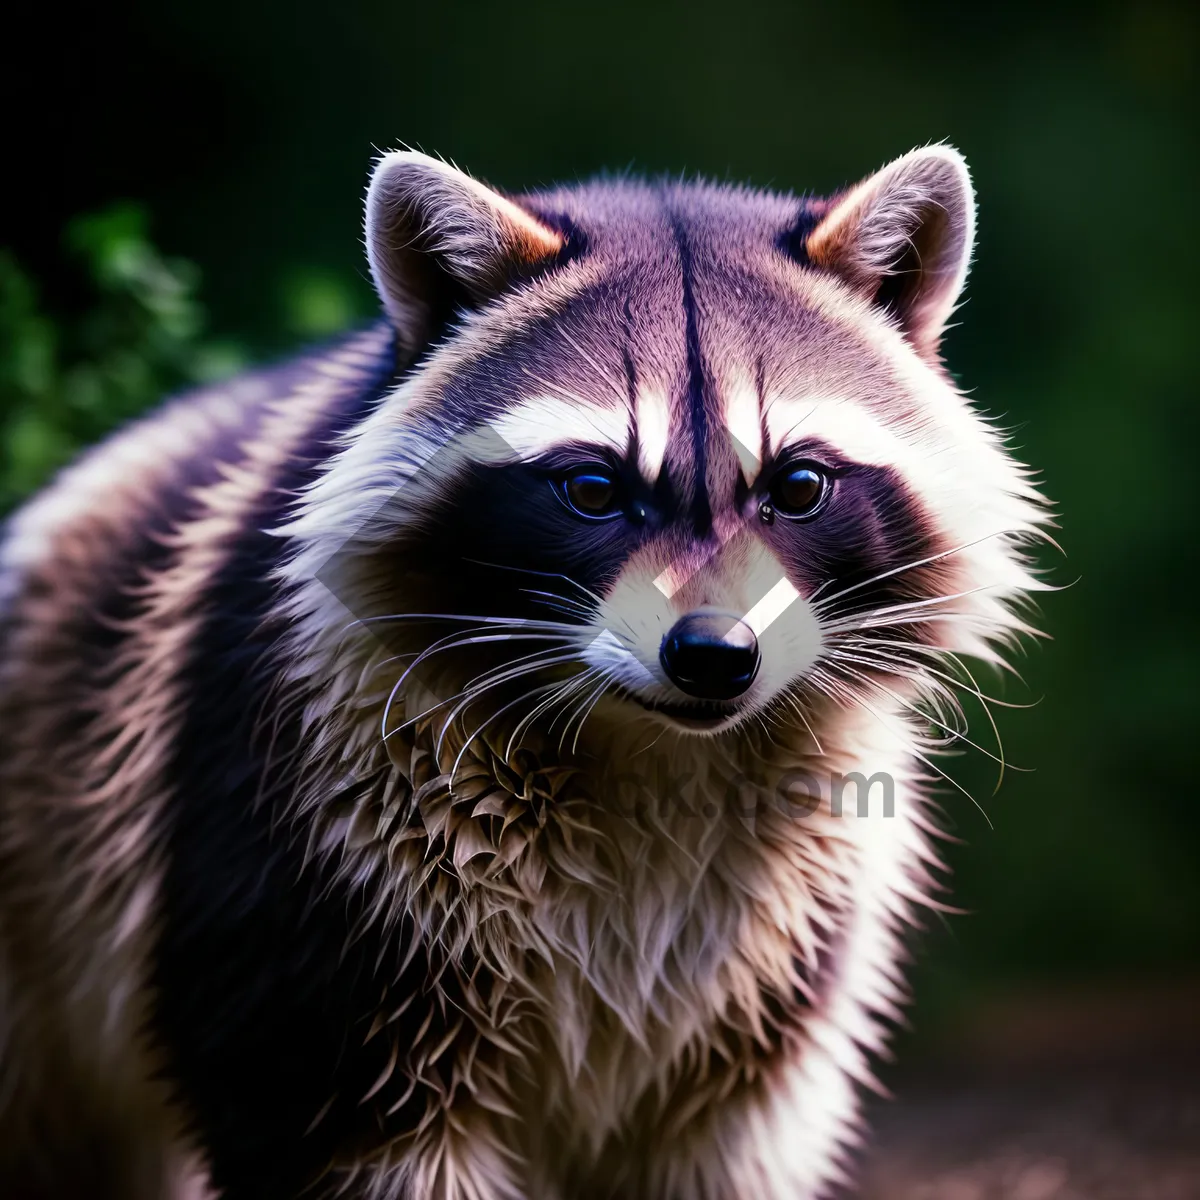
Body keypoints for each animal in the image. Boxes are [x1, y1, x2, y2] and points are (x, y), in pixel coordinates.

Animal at [0, 150, 1051, 1200]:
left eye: (796, 487)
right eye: (592, 490)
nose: (714, 655)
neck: (656, 750)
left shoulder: (784, 959)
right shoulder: (307, 863)